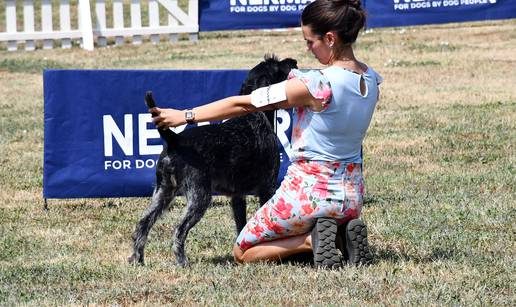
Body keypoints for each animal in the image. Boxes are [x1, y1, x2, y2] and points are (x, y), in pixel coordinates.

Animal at [129, 55, 298, 268]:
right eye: (276, 65)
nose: (294, 61)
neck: (254, 115)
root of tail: (175, 141)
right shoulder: (267, 188)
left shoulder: (237, 196)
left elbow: (241, 225)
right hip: (199, 197)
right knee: (179, 230)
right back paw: (182, 262)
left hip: (163, 192)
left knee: (143, 224)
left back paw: (137, 259)